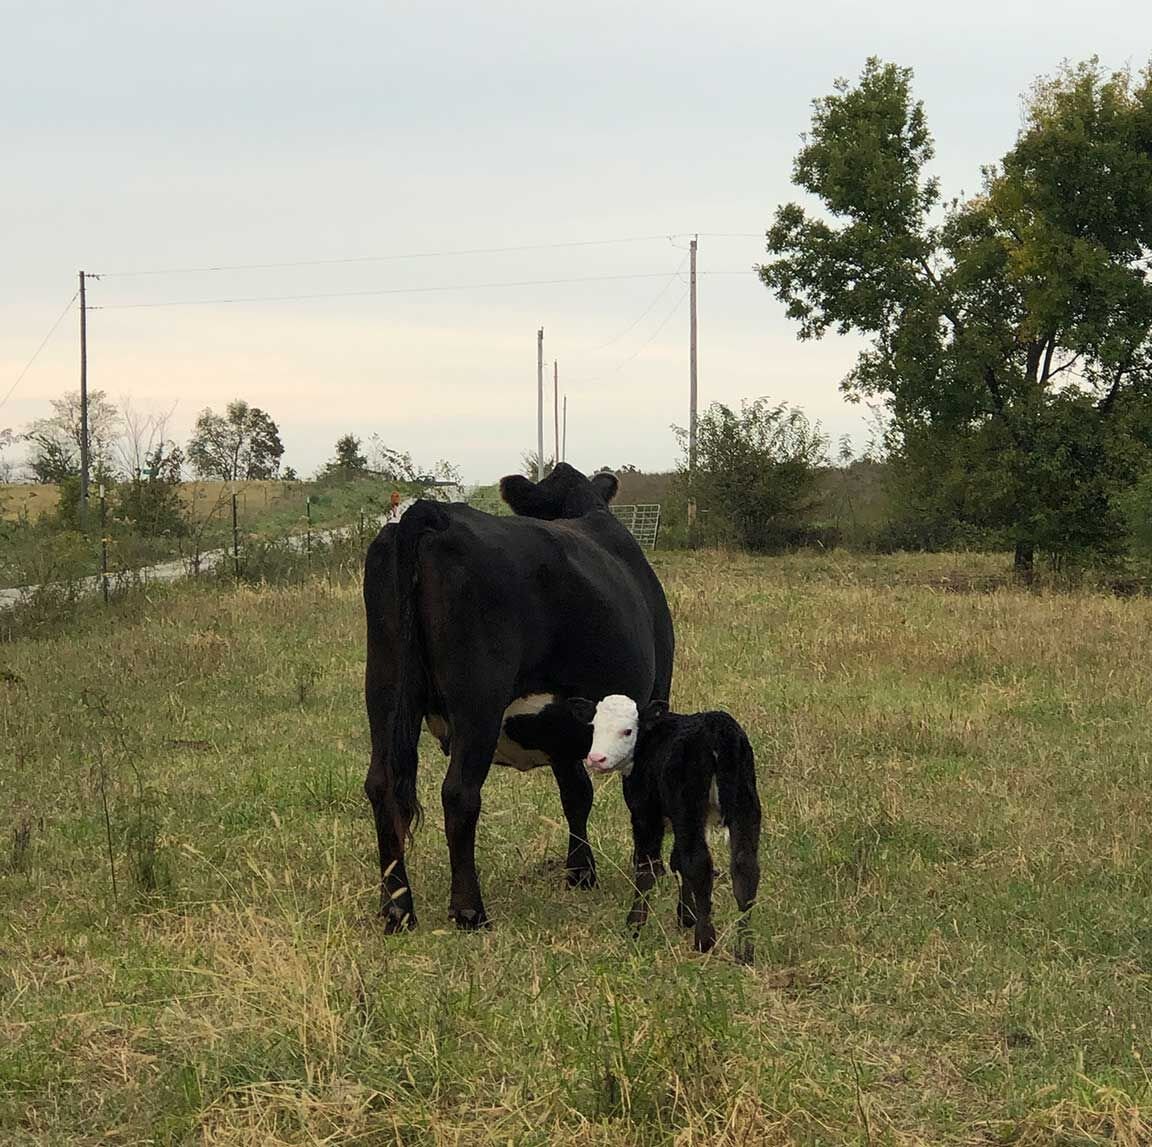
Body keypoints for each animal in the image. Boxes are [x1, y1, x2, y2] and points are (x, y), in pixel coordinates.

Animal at [363, 464, 675, 932]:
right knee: (459, 793)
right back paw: (469, 910)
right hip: (478, 699)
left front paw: (580, 872)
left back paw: (398, 908)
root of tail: (435, 514)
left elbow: (576, 793)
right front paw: (645, 870)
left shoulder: (565, 725)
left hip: (384, 687)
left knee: (382, 785)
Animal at [567, 694, 762, 963]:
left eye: (628, 731)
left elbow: (647, 867)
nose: (596, 759)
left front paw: (635, 925)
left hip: (688, 804)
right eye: (594, 727)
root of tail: (717, 730)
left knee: (699, 863)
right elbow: (677, 861)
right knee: (745, 868)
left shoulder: (645, 813)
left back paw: (704, 941)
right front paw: (686, 916)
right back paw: (745, 950)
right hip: (745, 804)